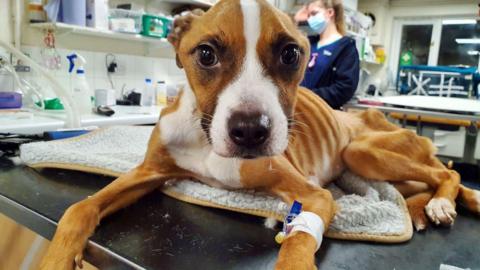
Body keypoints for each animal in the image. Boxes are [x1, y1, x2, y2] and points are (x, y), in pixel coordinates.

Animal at [41, 1, 480, 268]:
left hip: (364, 153)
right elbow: (81, 207)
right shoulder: (147, 172)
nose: (251, 132)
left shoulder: (313, 196)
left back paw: (443, 203)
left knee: (447, 173)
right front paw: (58, 258)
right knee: (424, 184)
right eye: (205, 54)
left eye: (290, 53)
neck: (205, 140)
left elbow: (299, 241)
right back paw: (428, 208)